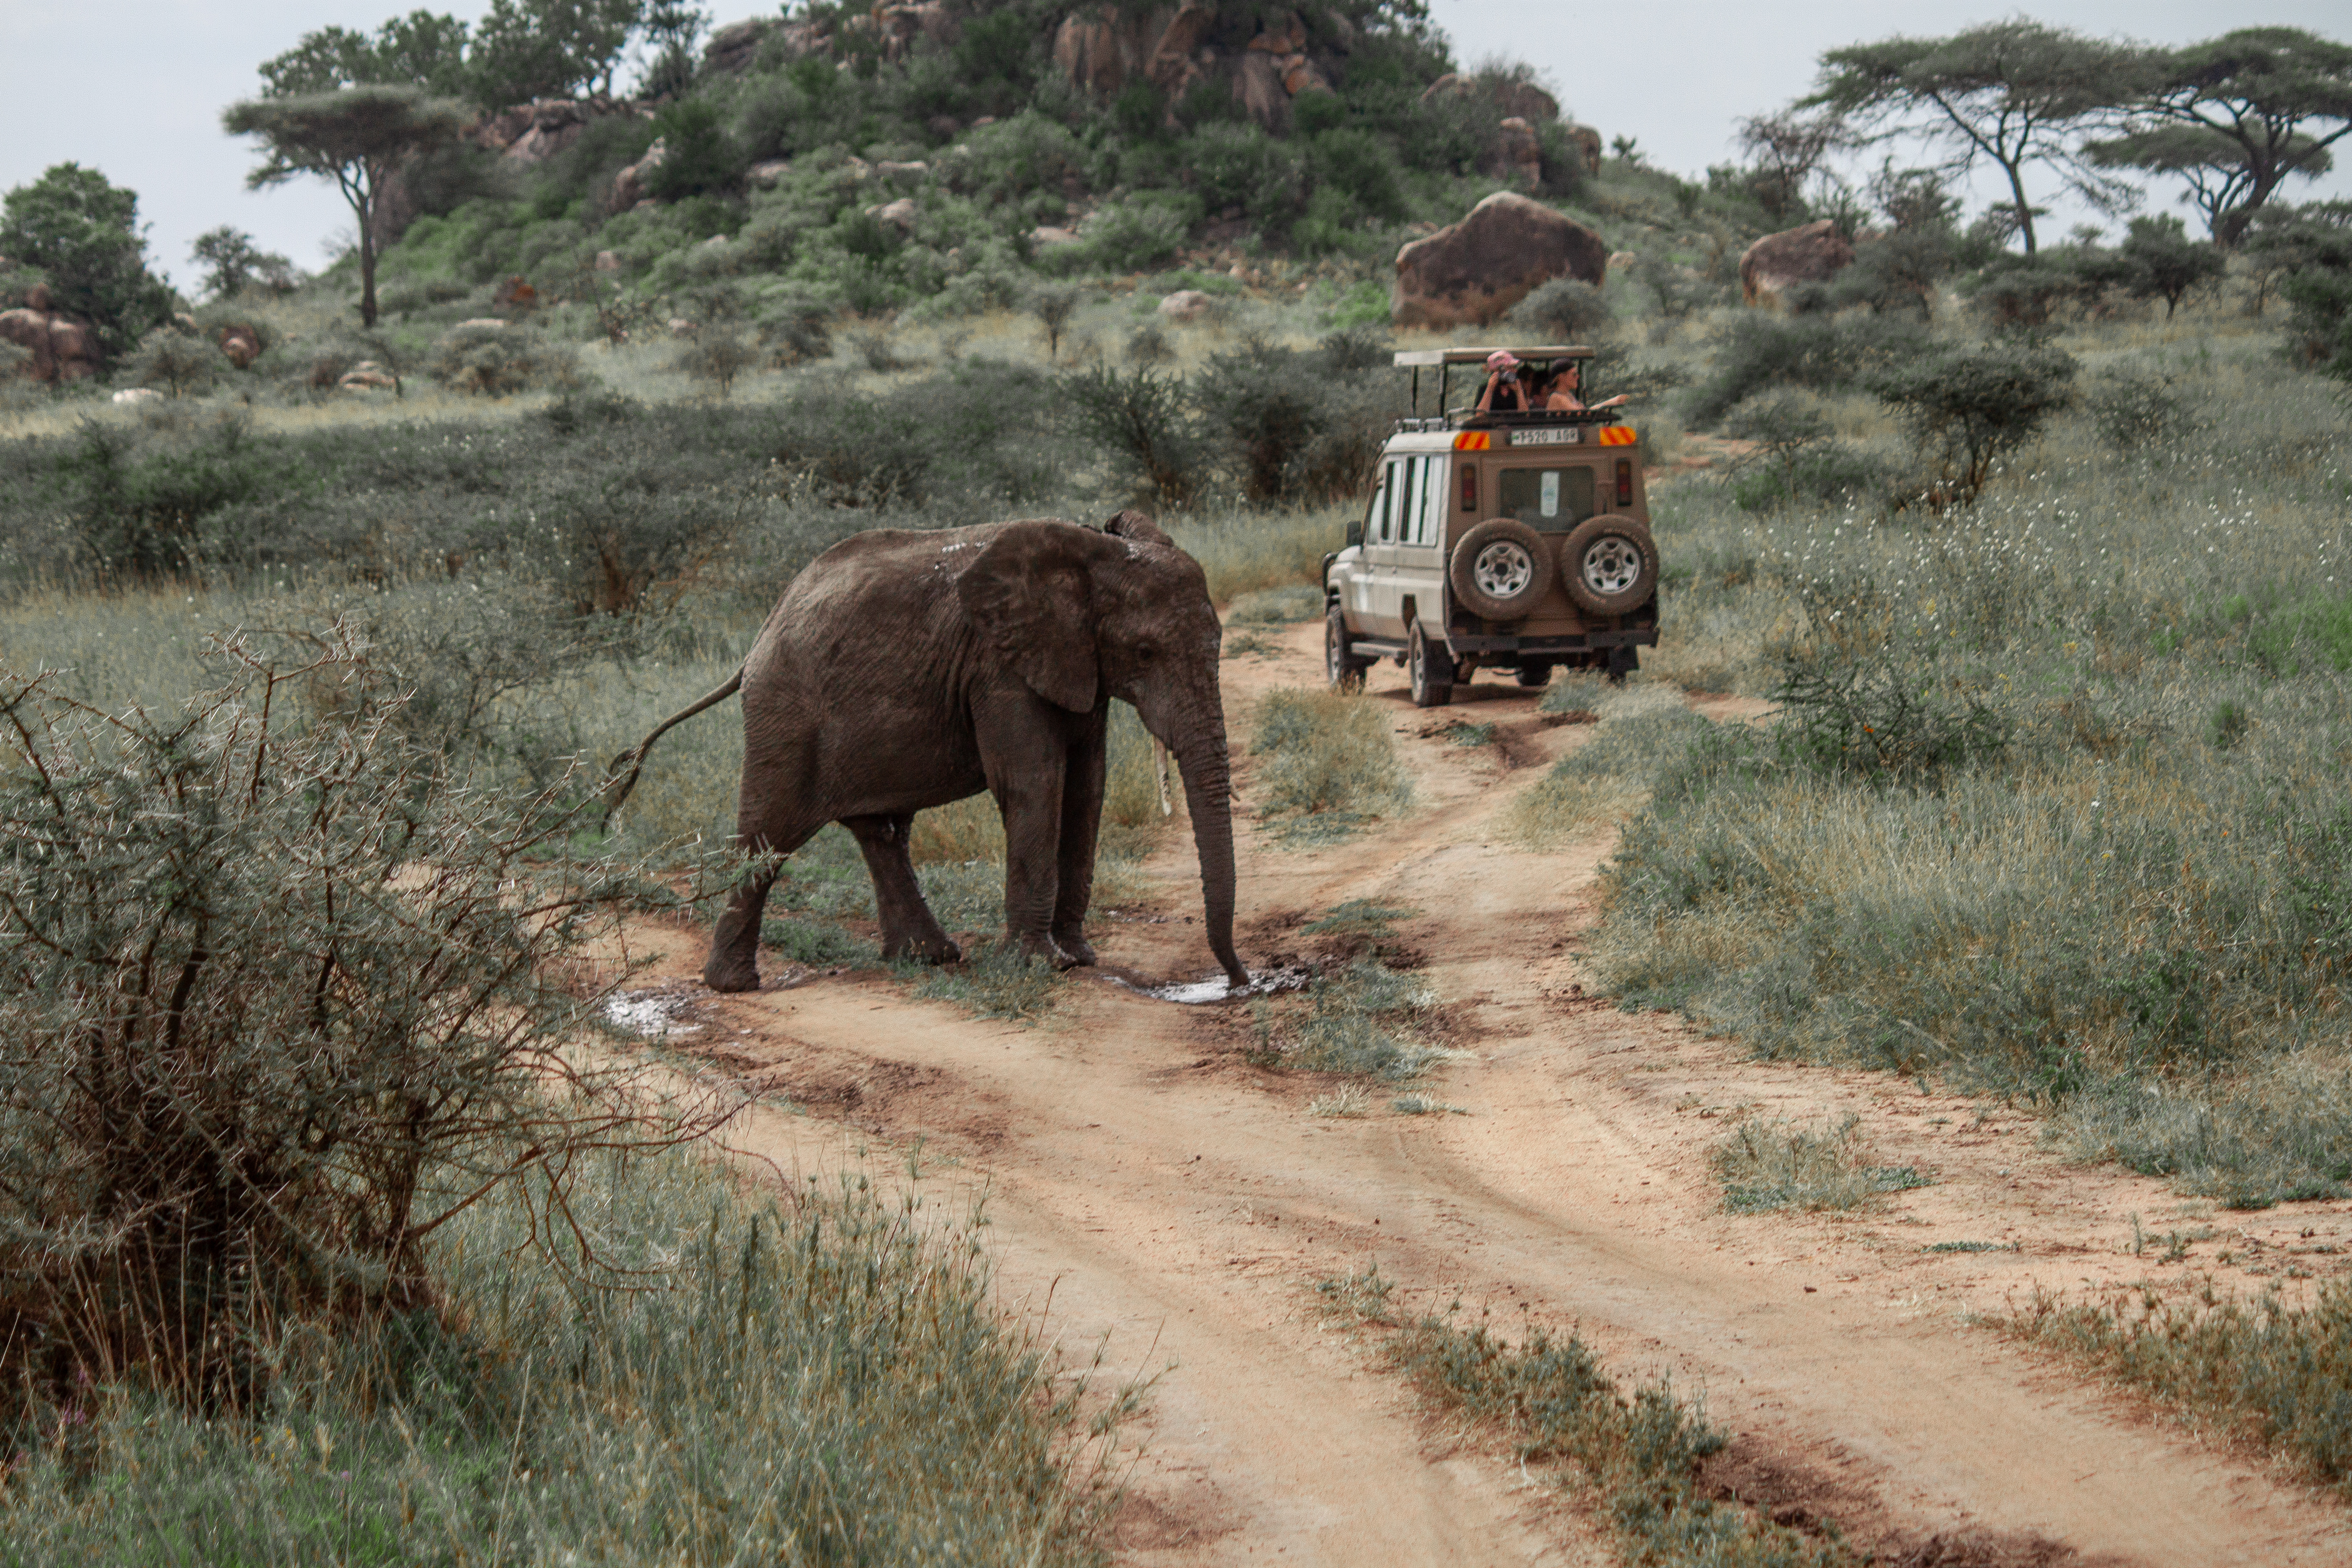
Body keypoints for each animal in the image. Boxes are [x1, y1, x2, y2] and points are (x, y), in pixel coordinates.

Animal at [602, 512, 1251, 992]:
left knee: (882, 832)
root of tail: (761, 634)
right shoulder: (999, 667)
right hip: (783, 711)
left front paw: (1079, 956)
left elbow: (1086, 791)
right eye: (1144, 653)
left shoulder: (1073, 662)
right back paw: (734, 986)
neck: (1091, 551)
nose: (1240, 981)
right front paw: (1042, 967)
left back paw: (928, 959)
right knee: (768, 835)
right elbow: (1034, 784)